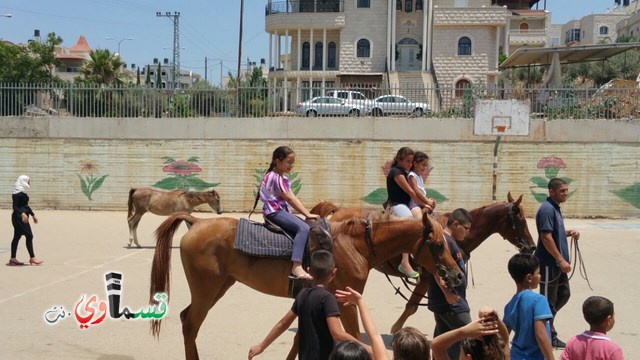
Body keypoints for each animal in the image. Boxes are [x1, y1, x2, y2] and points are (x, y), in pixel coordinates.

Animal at [148, 212, 462, 358]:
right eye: (437, 245)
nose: (458, 276)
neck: (355, 245)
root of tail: (196, 221)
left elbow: (300, 339)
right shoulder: (345, 301)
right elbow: (353, 335)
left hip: (219, 286)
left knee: (186, 319)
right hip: (207, 289)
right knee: (191, 325)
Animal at [310, 193, 536, 334]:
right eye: (521, 219)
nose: (532, 246)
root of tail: (339, 210)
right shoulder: (429, 276)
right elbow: (412, 306)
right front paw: (395, 330)